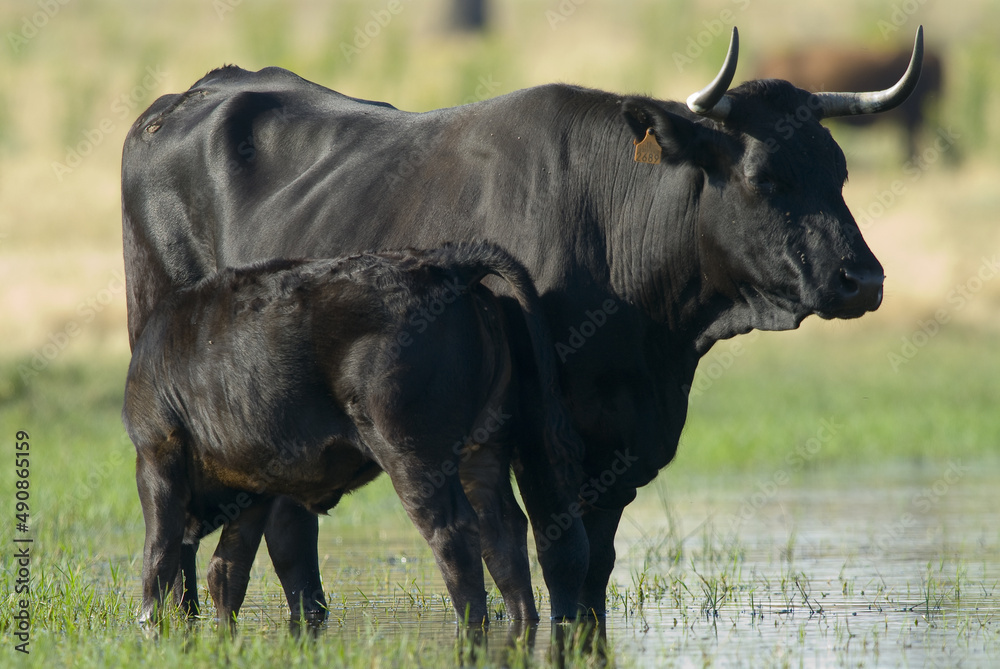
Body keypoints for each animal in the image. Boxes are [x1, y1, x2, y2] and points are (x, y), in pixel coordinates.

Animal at [119, 27, 920, 620]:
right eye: (765, 176)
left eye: (840, 172)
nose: (863, 279)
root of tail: (201, 90)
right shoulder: (544, 435)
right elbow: (561, 559)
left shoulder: (619, 447)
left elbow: (596, 566)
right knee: (194, 535)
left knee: (280, 531)